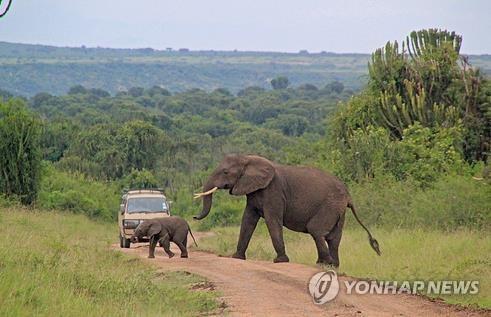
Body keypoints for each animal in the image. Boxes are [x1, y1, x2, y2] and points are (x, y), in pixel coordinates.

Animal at [194, 154, 382, 266]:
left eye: (225, 172)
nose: (194, 217)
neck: (249, 159)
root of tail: (349, 196)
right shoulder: (254, 192)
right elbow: (248, 220)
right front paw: (237, 258)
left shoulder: (274, 192)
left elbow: (272, 221)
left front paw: (280, 261)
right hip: (338, 210)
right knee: (333, 237)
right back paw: (331, 266)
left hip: (330, 206)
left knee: (316, 231)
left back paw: (325, 264)